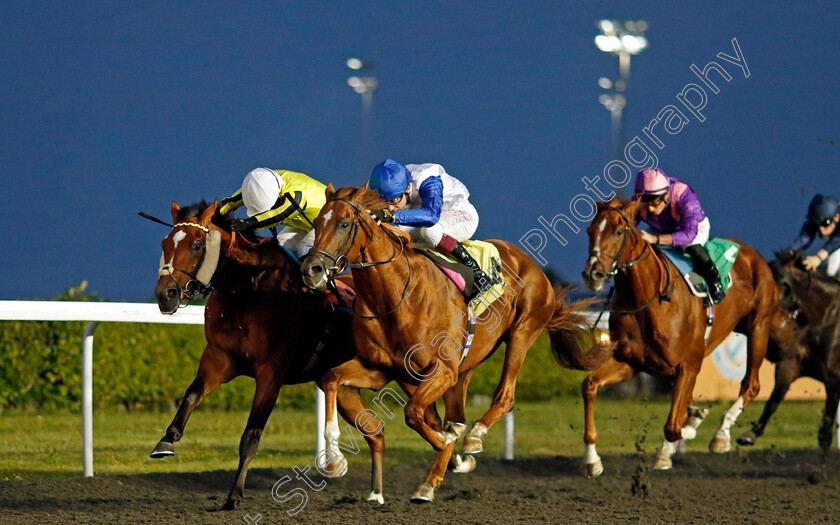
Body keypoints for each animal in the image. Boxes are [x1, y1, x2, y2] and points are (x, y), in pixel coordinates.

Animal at [302, 183, 564, 500]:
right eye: (317, 222)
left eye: (343, 224)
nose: (311, 269)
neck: (395, 296)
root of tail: (525, 259)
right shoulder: (381, 370)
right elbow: (331, 378)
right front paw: (334, 460)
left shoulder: (441, 369)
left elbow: (413, 414)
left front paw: (448, 447)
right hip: (464, 365)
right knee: (454, 414)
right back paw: (436, 474)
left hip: (522, 333)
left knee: (504, 396)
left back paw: (473, 438)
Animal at [552, 196, 776, 474]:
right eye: (590, 230)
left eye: (618, 231)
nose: (594, 273)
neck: (648, 300)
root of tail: (751, 253)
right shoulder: (631, 362)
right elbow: (590, 386)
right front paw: (592, 460)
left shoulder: (687, 365)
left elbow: (672, 427)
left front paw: (683, 436)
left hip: (758, 327)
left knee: (751, 385)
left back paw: (720, 436)